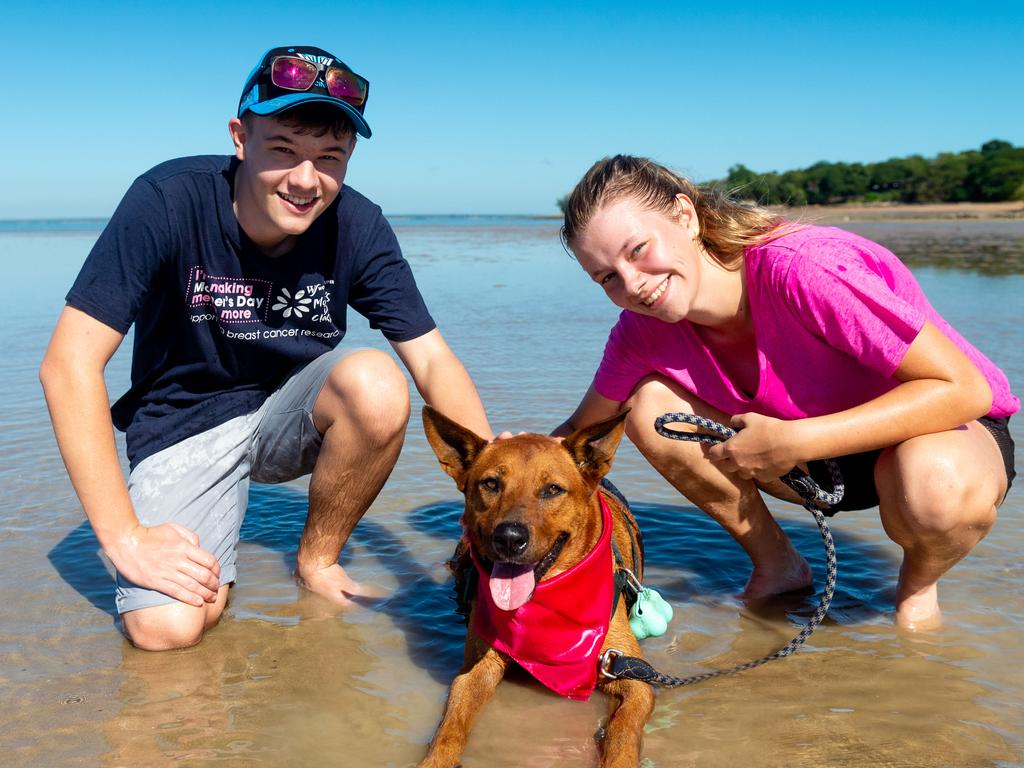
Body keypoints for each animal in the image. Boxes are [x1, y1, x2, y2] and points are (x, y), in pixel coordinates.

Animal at [417, 405, 651, 765]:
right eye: (491, 483)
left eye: (552, 489)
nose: (509, 538)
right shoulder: (474, 671)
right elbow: (450, 725)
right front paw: (435, 759)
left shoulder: (633, 675)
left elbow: (623, 730)